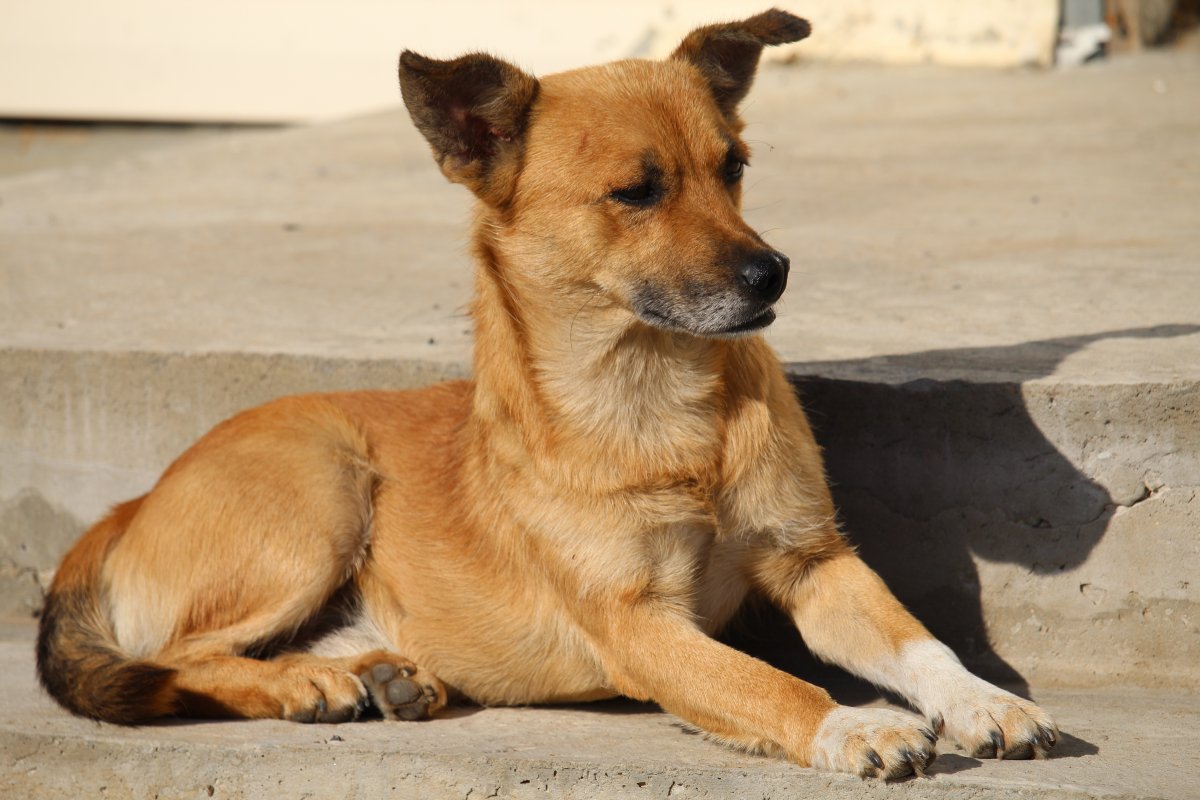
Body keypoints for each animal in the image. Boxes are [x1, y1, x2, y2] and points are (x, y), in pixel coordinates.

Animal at [32, 9, 1056, 777]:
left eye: (734, 168)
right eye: (636, 192)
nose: (773, 274)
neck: (658, 400)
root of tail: (130, 505)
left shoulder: (816, 563)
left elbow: (919, 642)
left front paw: (985, 701)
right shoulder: (638, 623)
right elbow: (771, 684)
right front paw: (854, 723)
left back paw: (380, 673)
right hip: (320, 493)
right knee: (173, 657)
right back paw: (302, 686)